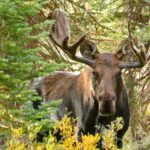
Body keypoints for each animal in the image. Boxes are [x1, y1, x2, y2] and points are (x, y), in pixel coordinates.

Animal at [33, 8, 149, 148]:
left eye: (119, 73)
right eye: (95, 73)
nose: (106, 102)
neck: (105, 119)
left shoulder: (120, 134)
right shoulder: (81, 131)